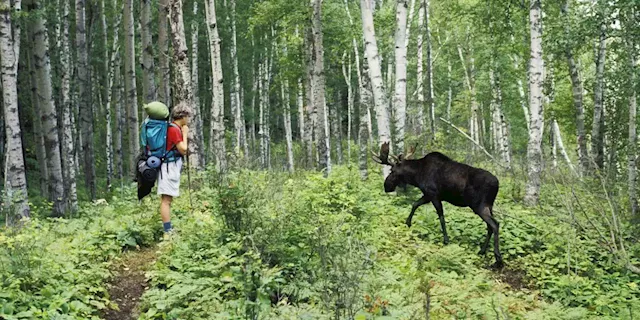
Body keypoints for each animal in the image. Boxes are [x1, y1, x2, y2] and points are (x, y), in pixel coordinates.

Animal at [370, 142, 504, 268]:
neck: (416, 176)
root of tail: (497, 184)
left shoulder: (433, 195)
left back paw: (498, 258)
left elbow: (441, 217)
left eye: (392, 171)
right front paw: (407, 223)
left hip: (479, 205)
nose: (386, 186)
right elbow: (415, 204)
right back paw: (482, 251)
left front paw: (446, 240)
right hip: (489, 206)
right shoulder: (428, 195)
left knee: (495, 224)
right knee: (490, 226)